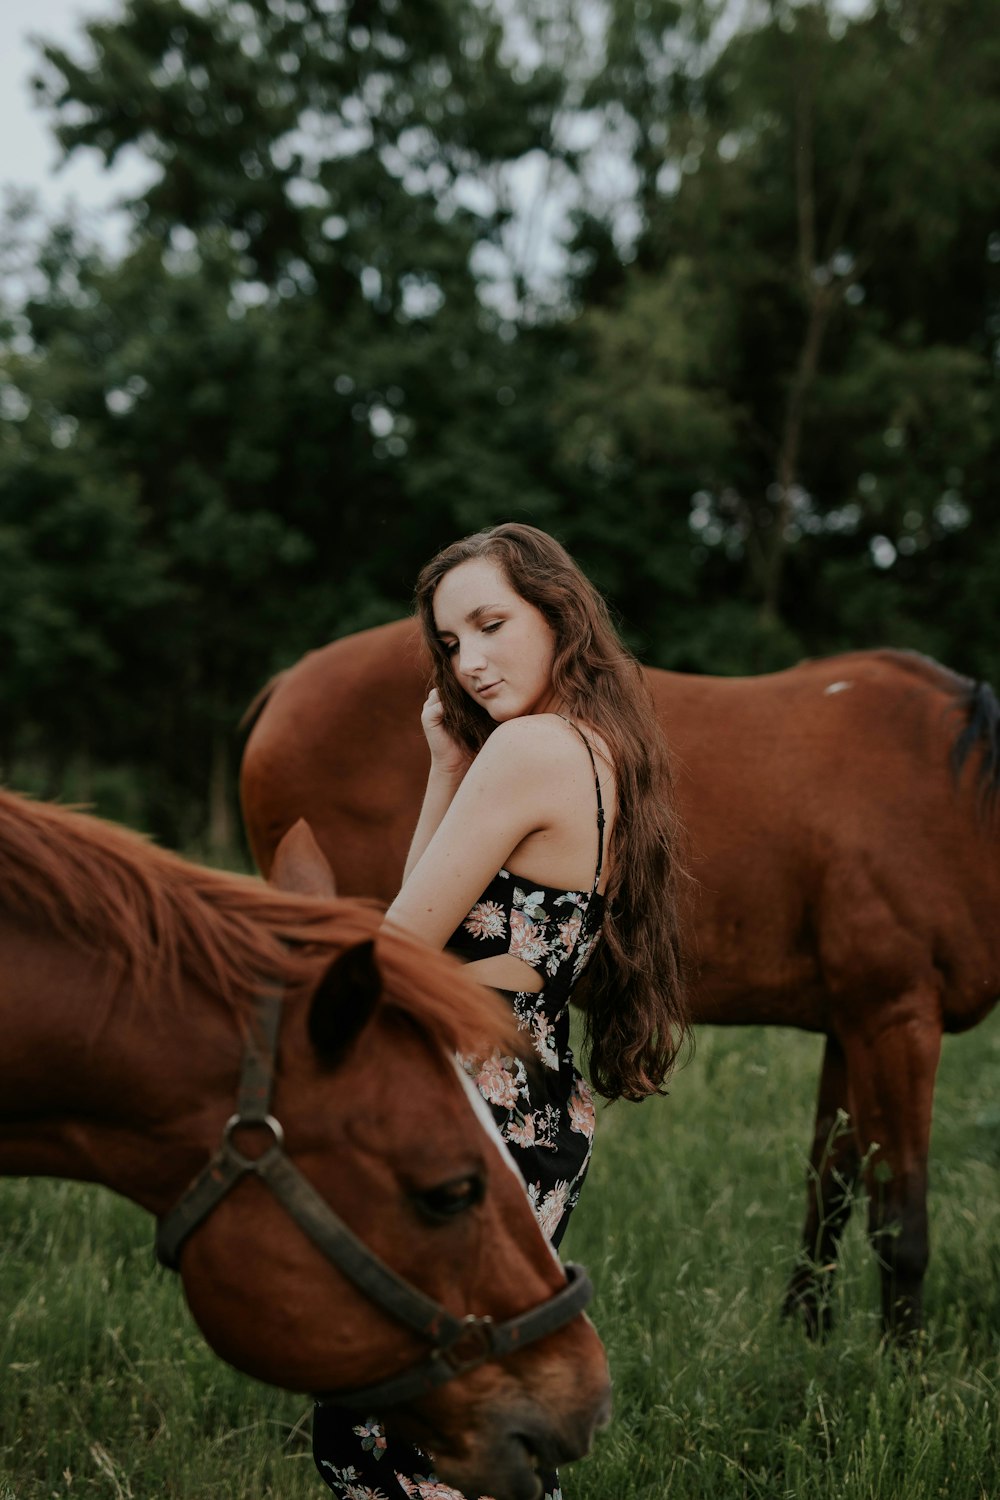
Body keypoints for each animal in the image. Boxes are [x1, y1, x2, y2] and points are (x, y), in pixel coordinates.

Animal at [239, 618, 1000, 1338]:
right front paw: (900, 1360)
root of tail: (286, 685)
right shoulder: (897, 1021)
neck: (945, 794)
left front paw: (806, 1336)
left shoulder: (853, 1027)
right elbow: (900, 1223)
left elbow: (830, 1195)